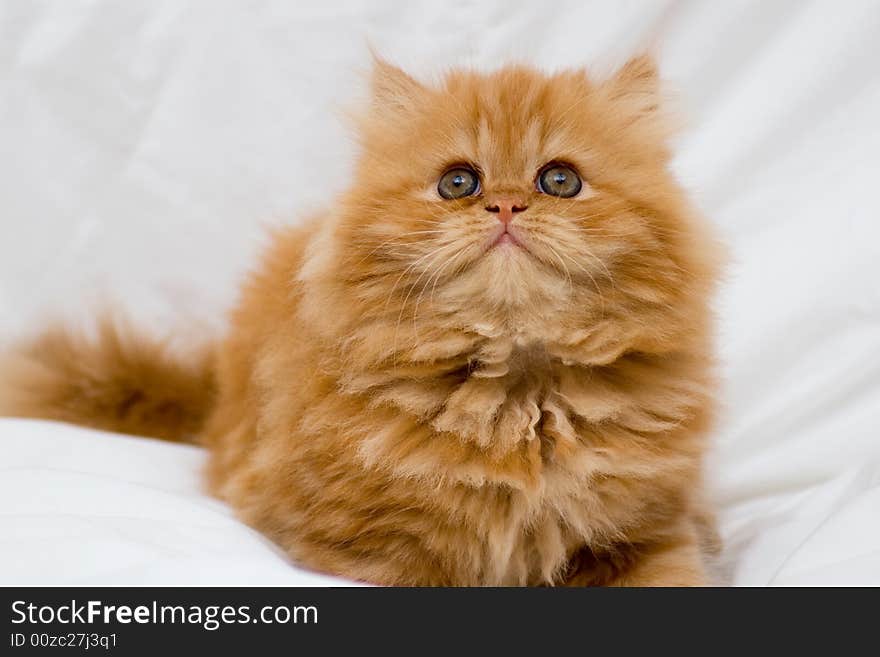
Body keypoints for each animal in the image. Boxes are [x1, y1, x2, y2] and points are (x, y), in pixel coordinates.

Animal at [3, 56, 724, 584]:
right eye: (458, 183)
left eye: (559, 182)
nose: (507, 206)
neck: (516, 394)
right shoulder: (367, 544)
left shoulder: (646, 531)